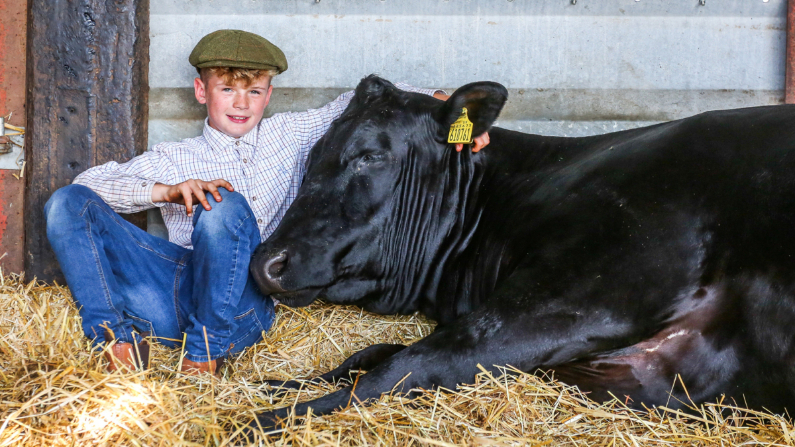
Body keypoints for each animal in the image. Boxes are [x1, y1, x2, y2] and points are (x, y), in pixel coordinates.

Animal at [249, 76, 795, 430]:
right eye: (313, 154)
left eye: (370, 155)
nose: (264, 263)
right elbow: (374, 354)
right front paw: (279, 385)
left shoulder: (581, 292)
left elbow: (405, 366)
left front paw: (270, 418)